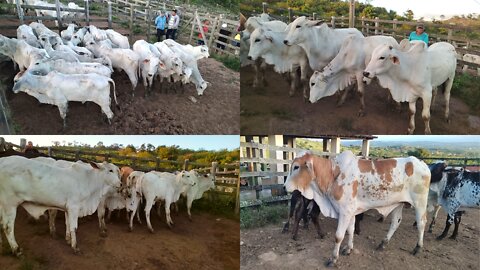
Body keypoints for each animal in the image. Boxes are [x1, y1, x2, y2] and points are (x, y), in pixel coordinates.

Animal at [284, 151, 432, 266]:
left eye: (296, 167)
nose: (284, 187)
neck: (334, 173)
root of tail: (423, 164)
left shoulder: (345, 211)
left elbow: (339, 236)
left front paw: (333, 259)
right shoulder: (350, 212)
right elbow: (351, 230)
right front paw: (348, 249)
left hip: (420, 202)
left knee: (421, 223)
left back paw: (418, 248)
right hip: (398, 203)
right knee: (396, 222)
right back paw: (383, 243)